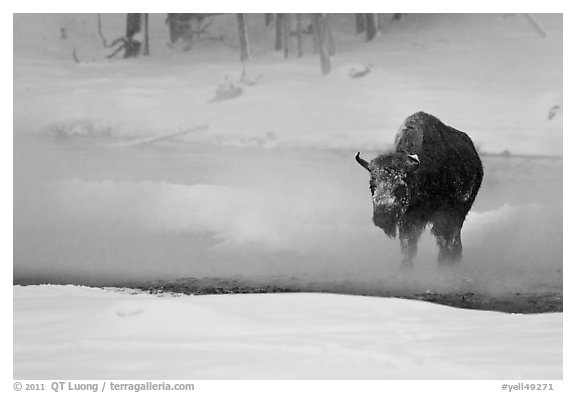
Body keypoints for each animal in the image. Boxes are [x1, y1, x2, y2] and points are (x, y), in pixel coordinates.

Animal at [356, 112, 482, 268]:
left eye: (400, 187)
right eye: (372, 186)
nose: (382, 218)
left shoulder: (444, 217)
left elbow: (444, 243)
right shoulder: (409, 220)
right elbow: (408, 246)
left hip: (460, 213)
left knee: (454, 239)